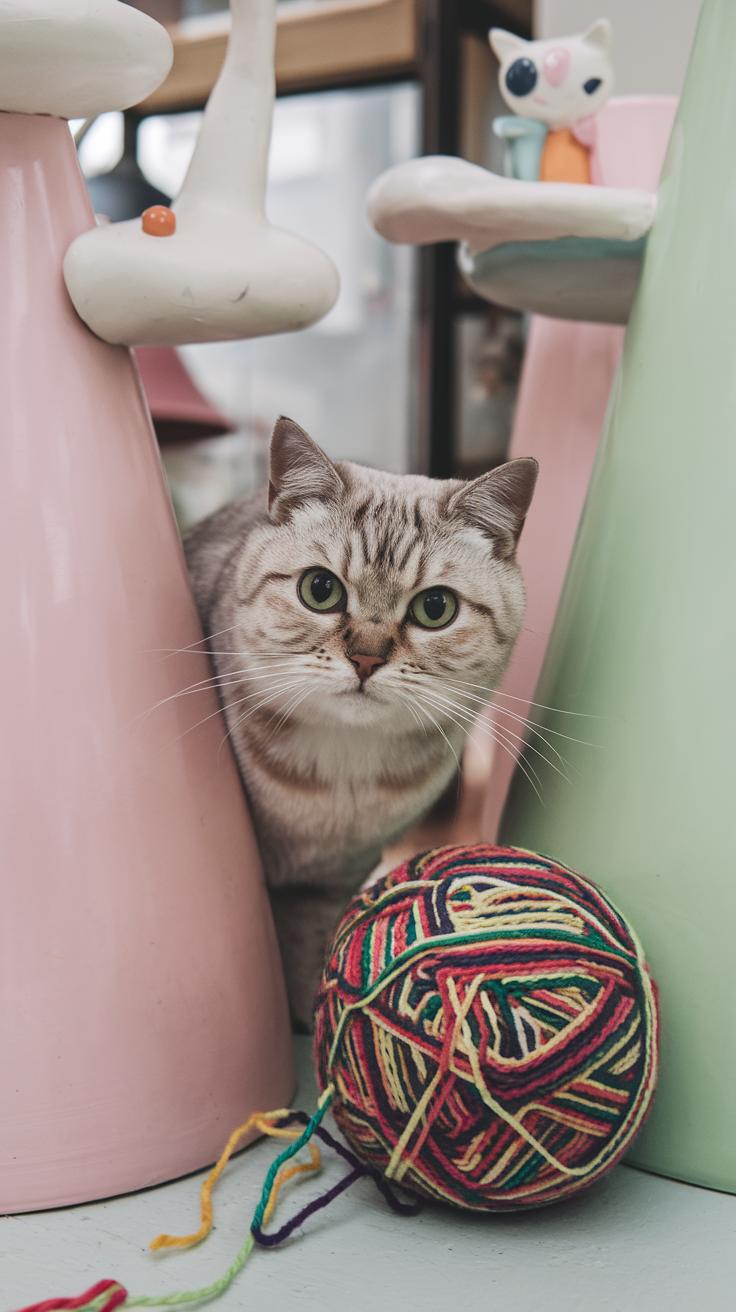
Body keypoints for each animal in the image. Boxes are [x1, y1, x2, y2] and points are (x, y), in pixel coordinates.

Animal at [186, 417, 537, 1023]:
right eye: (320, 589)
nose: (367, 658)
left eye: (435, 608)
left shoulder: (333, 881)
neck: (342, 773)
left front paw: (315, 1006)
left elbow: (312, 940)